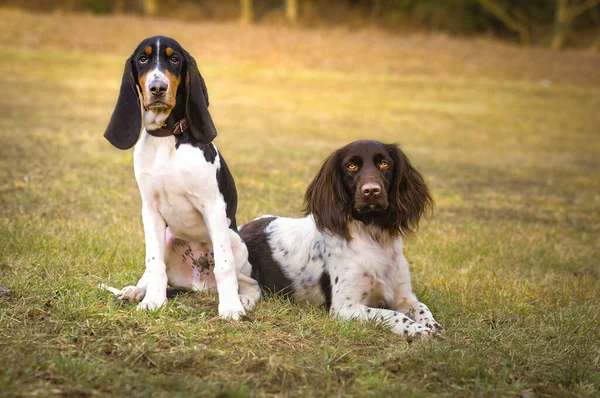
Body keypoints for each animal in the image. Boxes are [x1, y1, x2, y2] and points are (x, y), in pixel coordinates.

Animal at [101, 35, 260, 318]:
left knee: (247, 280)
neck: (166, 138)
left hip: (236, 240)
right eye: (143, 59)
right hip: (167, 237)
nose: (157, 87)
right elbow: (153, 264)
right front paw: (153, 301)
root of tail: (198, 284)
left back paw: (244, 299)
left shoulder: (213, 207)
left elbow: (225, 265)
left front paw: (231, 308)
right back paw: (133, 291)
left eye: (174, 59)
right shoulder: (149, 209)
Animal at [241, 140, 442, 336]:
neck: (372, 236)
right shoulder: (344, 307)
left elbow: (422, 307)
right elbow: (391, 315)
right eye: (351, 166)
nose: (371, 191)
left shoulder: (404, 296)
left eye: (385, 164)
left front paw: (433, 326)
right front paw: (419, 330)